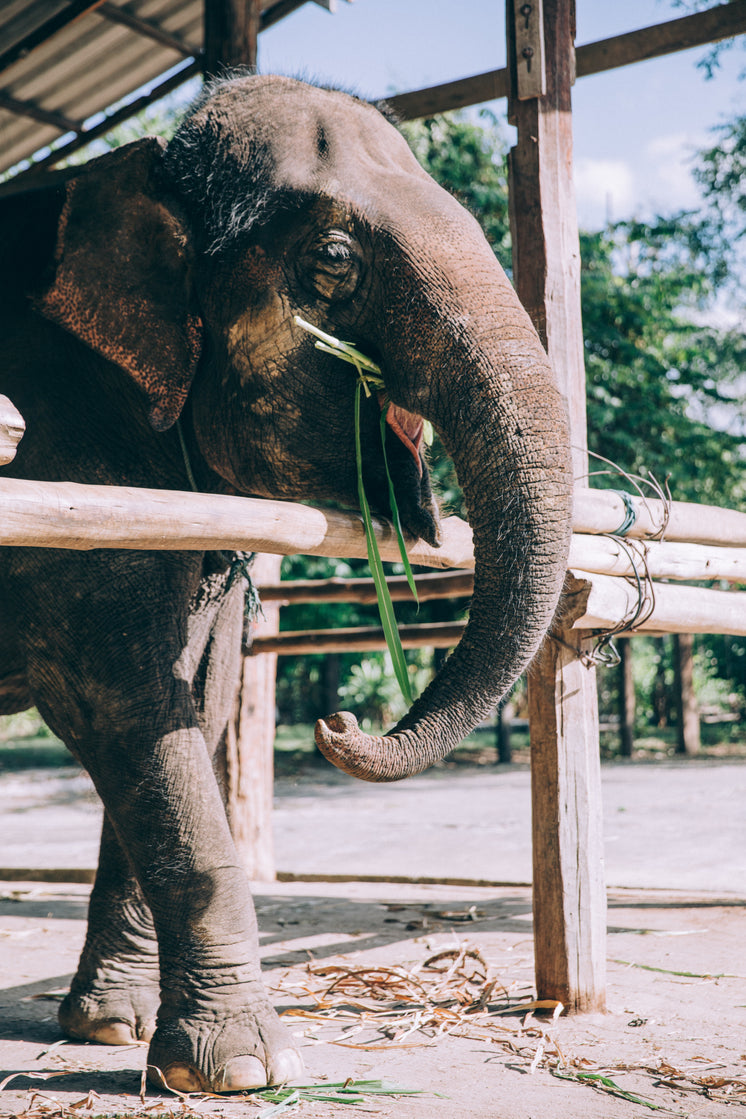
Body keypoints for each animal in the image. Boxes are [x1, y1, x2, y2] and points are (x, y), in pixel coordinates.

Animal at [0, 74, 572, 1087]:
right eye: (335, 259)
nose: (339, 721)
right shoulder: (63, 463)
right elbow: (129, 704)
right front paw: (243, 1070)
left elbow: (193, 701)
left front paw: (113, 1029)